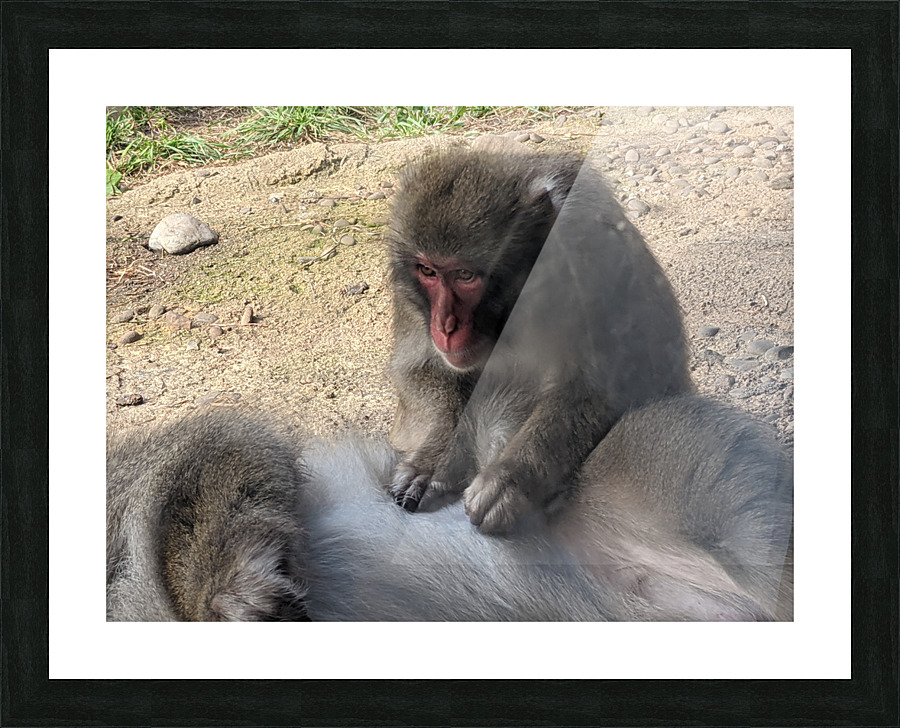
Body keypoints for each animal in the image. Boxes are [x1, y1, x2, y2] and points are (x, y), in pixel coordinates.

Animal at [385, 149, 692, 534]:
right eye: (427, 271)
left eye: (465, 275)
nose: (445, 326)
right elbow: (419, 370)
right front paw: (433, 458)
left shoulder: (590, 262)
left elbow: (601, 387)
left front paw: (510, 479)